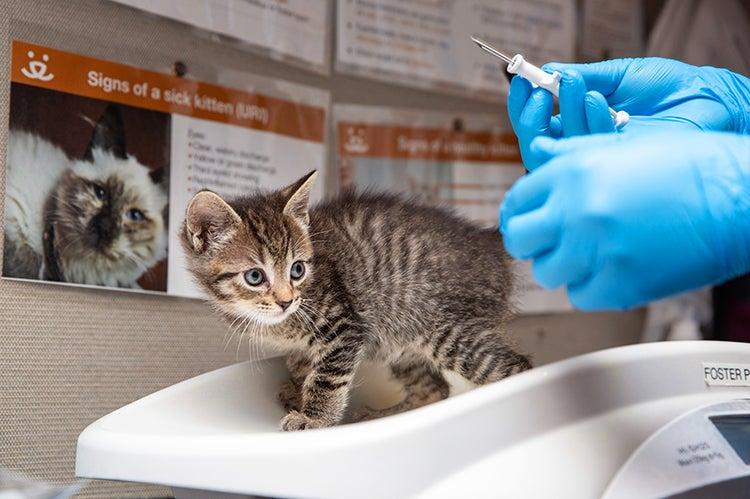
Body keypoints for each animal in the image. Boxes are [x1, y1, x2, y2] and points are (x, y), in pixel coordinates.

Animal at [183, 172, 536, 430]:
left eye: (297, 269)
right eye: (255, 277)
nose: (286, 301)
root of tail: (489, 243)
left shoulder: (344, 325)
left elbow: (327, 376)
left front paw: (314, 418)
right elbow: (300, 362)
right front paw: (296, 386)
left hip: (449, 331)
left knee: (518, 367)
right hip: (404, 340)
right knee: (433, 389)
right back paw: (385, 417)